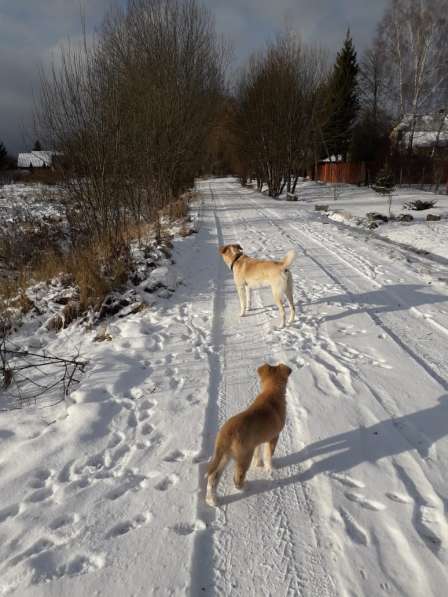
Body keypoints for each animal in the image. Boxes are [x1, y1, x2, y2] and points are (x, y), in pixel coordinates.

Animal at [206, 360, 292, 506]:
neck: (271, 391)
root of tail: (225, 433)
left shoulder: (256, 441)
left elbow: (258, 453)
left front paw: (257, 464)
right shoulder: (274, 437)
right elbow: (269, 455)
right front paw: (271, 468)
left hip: (225, 456)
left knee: (213, 476)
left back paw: (212, 500)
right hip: (243, 457)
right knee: (237, 478)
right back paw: (246, 487)